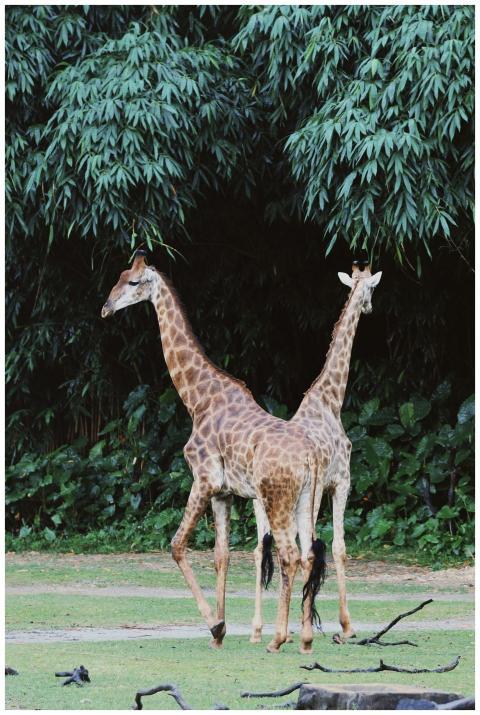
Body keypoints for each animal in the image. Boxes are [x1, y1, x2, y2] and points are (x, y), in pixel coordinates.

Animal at [101, 251, 330, 654]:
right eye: (119, 276)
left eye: (133, 282)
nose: (106, 308)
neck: (197, 399)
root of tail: (310, 457)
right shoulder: (224, 492)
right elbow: (221, 555)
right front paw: (220, 632)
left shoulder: (203, 479)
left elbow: (177, 545)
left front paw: (215, 624)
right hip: (306, 498)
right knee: (306, 555)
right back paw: (303, 639)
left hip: (277, 498)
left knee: (288, 555)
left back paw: (277, 639)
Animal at [249, 262, 382, 644]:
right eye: (371, 288)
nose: (369, 307)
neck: (329, 399)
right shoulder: (340, 482)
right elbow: (337, 547)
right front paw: (346, 624)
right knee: (294, 550)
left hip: (260, 501)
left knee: (261, 549)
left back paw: (259, 629)